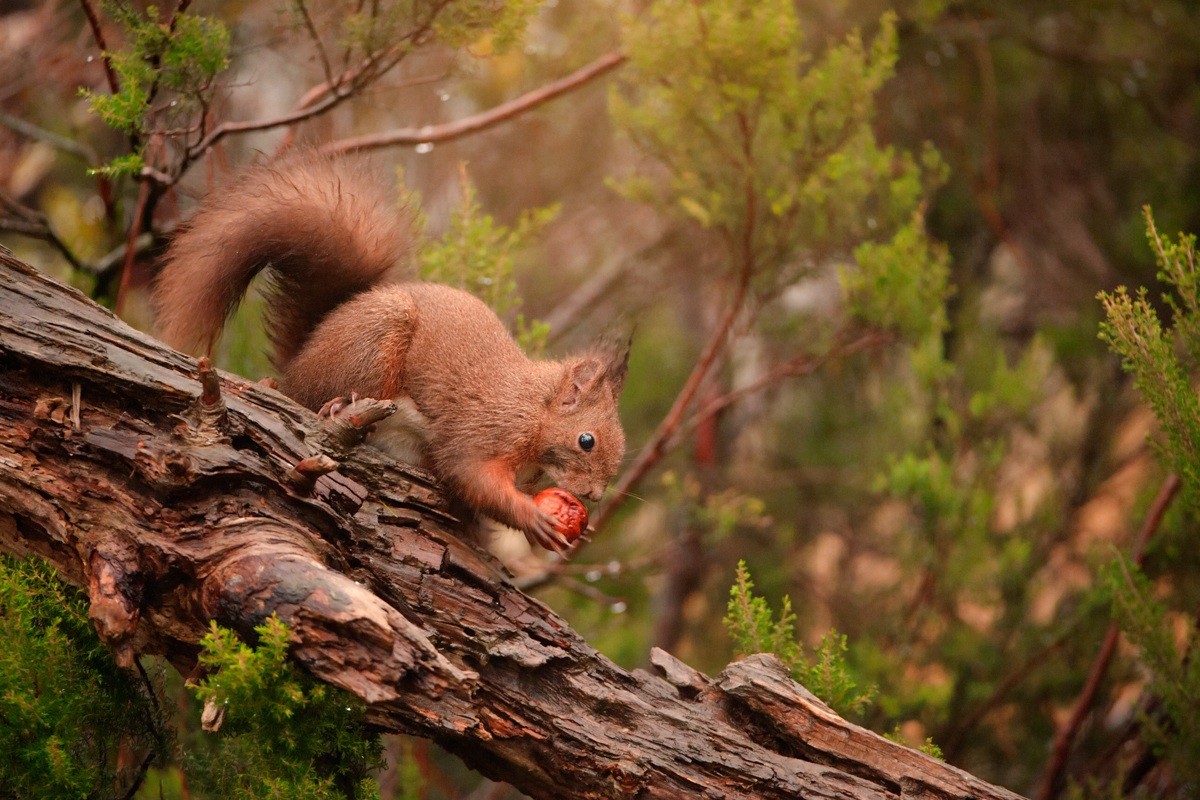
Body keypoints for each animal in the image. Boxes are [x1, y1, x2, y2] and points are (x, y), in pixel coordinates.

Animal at [153, 153, 629, 555]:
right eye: (586, 440)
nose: (593, 495)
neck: (535, 407)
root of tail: (304, 354)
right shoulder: (488, 426)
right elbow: (470, 472)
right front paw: (532, 518)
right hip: (377, 343)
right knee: (308, 394)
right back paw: (334, 405)